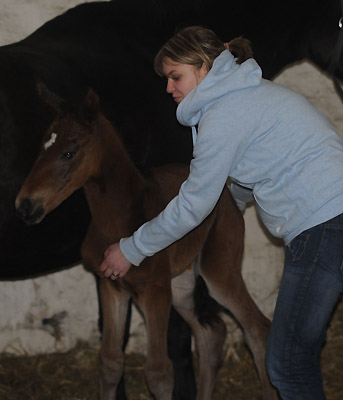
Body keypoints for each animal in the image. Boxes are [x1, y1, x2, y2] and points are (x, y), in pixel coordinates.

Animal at [16, 88, 278, 400]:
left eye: (69, 152)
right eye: (42, 147)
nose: (25, 204)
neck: (119, 220)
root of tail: (227, 195)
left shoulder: (154, 291)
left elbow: (159, 373)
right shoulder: (111, 286)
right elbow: (110, 362)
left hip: (219, 271)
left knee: (257, 329)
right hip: (180, 286)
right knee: (213, 334)